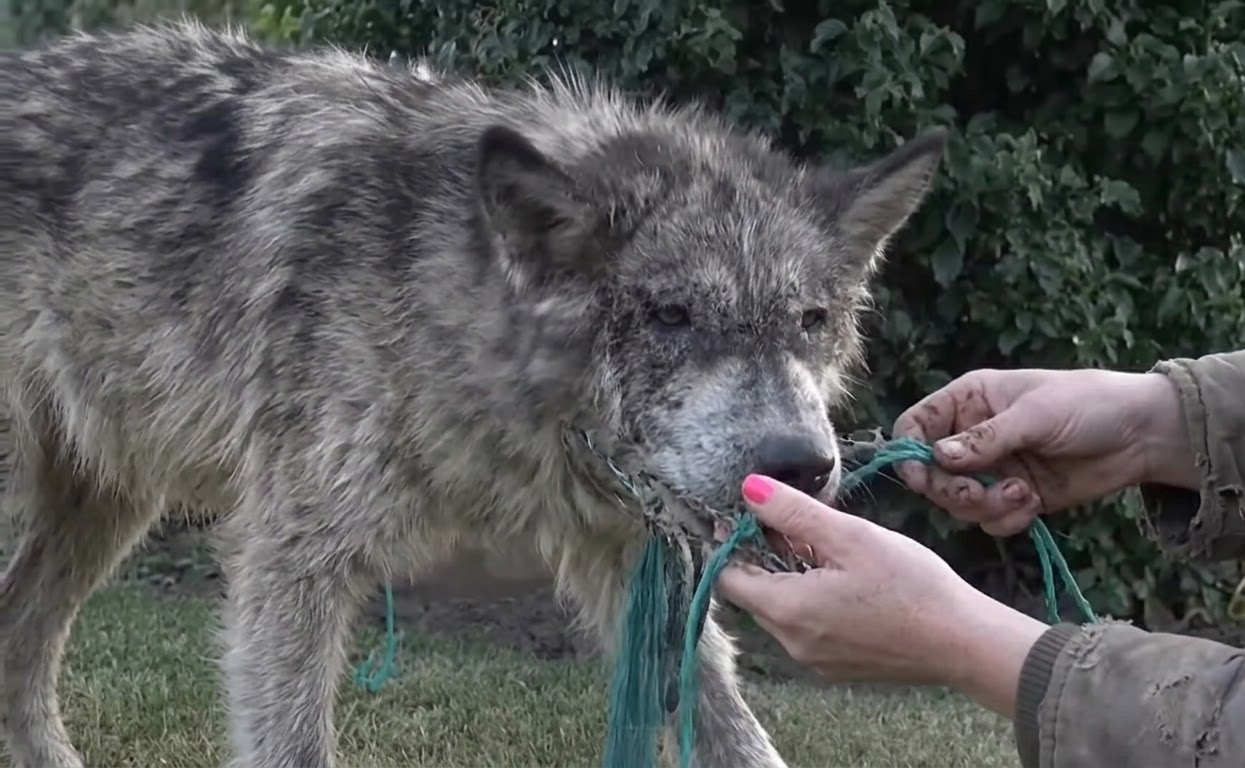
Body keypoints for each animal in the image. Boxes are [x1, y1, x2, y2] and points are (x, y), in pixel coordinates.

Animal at [0, 19, 946, 768]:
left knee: (18, 638)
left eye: (809, 321)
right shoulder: (292, 560)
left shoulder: (633, 567)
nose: (800, 466)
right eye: (672, 315)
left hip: (108, 507)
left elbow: (736, 732)